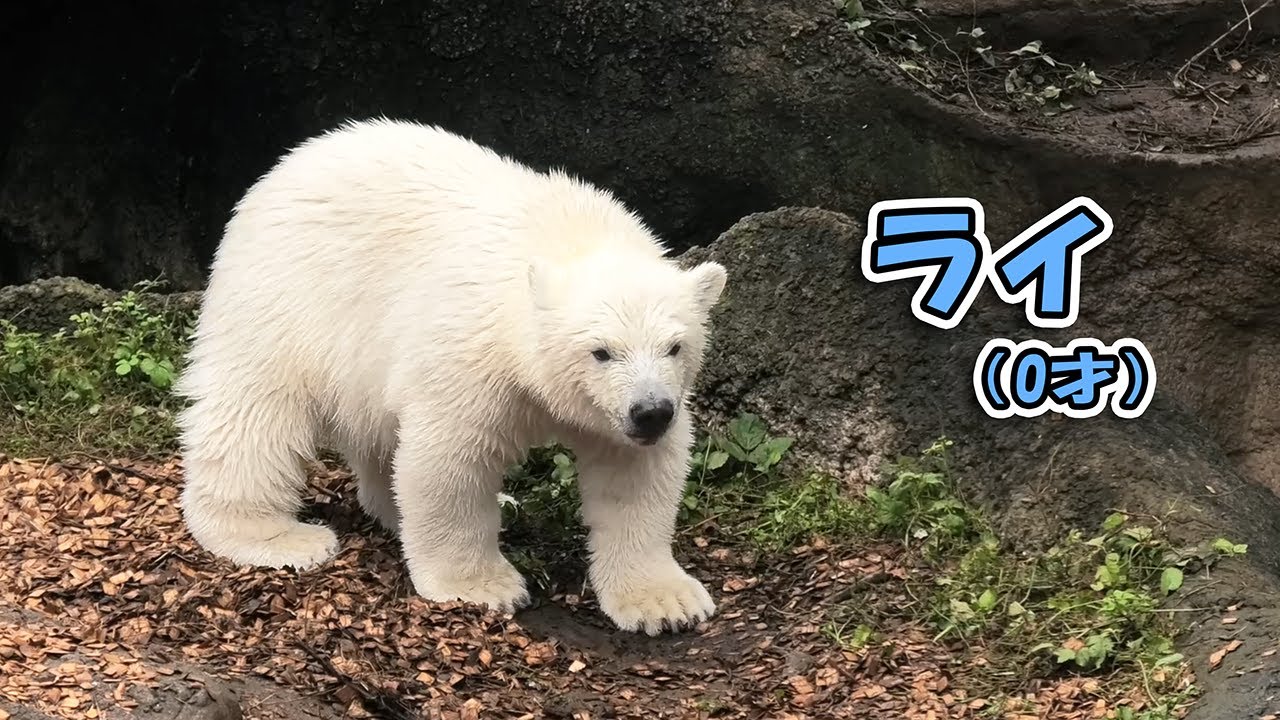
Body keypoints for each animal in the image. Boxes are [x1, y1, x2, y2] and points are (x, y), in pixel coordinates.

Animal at [175, 118, 727, 635]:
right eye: (601, 352)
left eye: (675, 346)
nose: (651, 412)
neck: (568, 237)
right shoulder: (472, 350)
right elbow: (451, 461)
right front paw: (485, 586)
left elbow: (635, 478)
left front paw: (665, 602)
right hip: (287, 296)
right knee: (257, 412)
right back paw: (277, 536)